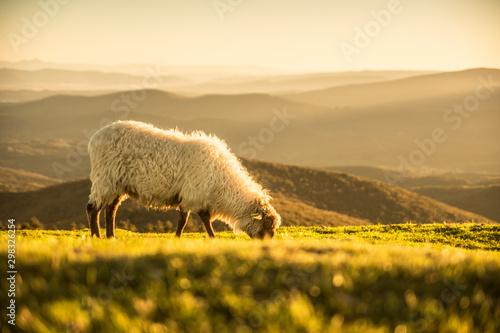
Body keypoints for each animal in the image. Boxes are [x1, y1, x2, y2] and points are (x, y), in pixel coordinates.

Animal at [86, 119, 282, 239]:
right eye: (266, 226)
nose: (267, 243)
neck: (224, 185)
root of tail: (95, 137)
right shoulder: (194, 193)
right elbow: (193, 219)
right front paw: (209, 237)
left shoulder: (192, 195)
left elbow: (190, 218)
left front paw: (182, 237)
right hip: (105, 178)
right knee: (93, 208)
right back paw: (97, 236)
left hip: (118, 184)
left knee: (110, 210)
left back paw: (111, 236)